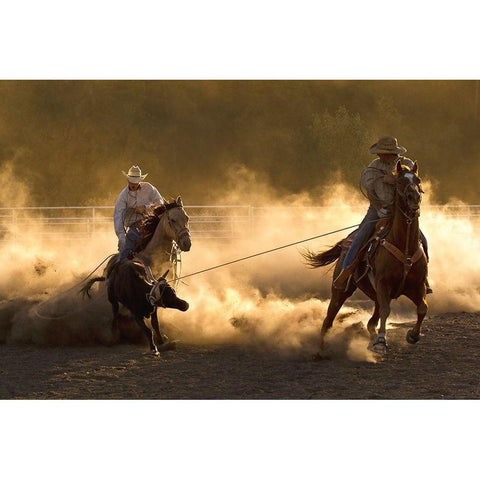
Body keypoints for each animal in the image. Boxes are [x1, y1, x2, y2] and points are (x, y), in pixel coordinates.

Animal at [304, 159, 428, 354]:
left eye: (418, 180)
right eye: (400, 182)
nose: (414, 198)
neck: (404, 245)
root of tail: (347, 241)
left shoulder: (417, 285)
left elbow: (423, 308)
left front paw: (413, 335)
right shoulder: (383, 284)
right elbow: (386, 311)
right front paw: (381, 342)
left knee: (371, 321)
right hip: (341, 291)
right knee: (328, 319)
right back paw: (320, 351)